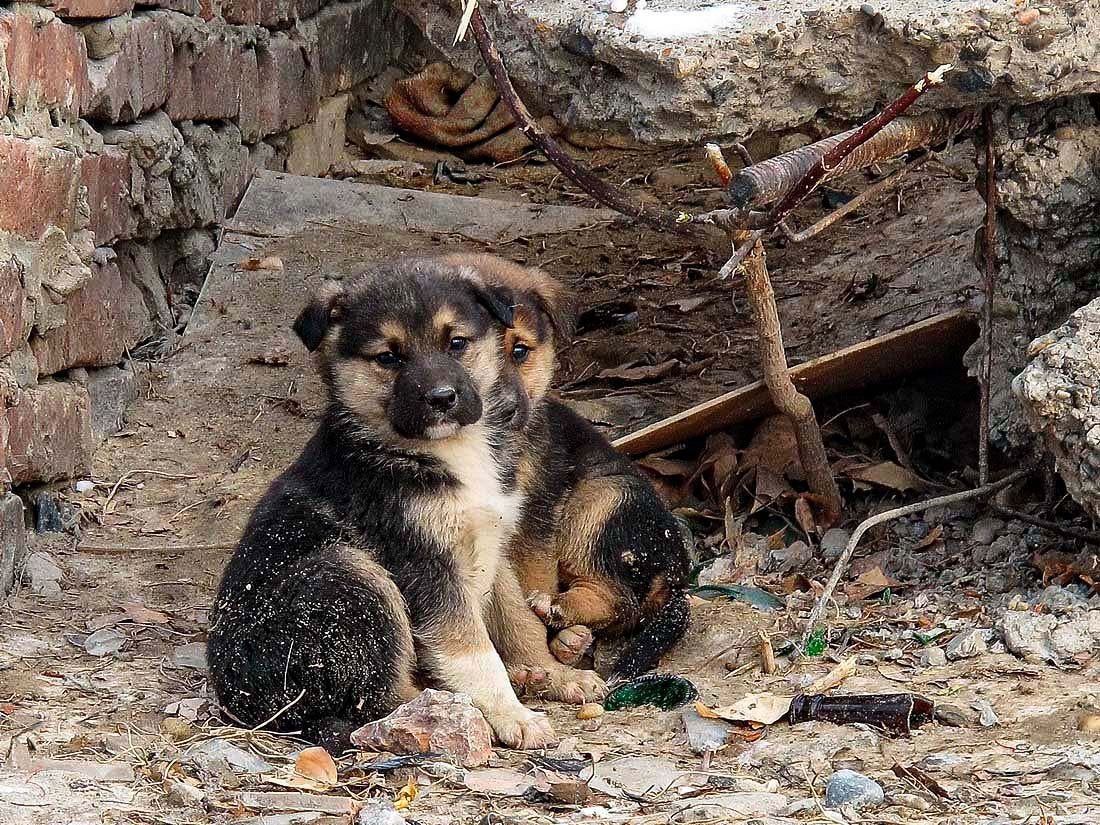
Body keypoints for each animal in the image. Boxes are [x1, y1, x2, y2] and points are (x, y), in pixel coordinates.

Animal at [206, 255, 607, 752]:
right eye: (388, 357)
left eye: (456, 343)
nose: (442, 399)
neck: (444, 452)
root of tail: (240, 703)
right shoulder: (426, 566)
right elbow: (475, 652)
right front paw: (511, 713)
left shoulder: (492, 547)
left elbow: (519, 624)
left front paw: (553, 674)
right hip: (350, 577)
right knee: (380, 697)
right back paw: (443, 710)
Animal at [435, 257, 686, 686]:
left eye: (519, 351)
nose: (504, 411)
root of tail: (677, 570)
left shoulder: (535, 512)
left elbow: (530, 576)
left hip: (602, 499)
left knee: (620, 599)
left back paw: (558, 611)